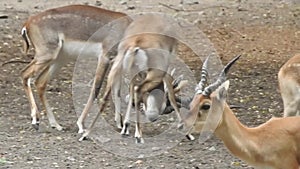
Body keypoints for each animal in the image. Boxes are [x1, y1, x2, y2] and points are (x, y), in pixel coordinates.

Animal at [19, 3, 130, 131]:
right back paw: (35, 120)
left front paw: (120, 125)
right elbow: (96, 88)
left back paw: (56, 124)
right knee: (25, 74)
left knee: (40, 82)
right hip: (46, 55)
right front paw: (81, 125)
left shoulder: (118, 64)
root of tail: (28, 22)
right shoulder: (105, 57)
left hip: (60, 59)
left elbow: (117, 92)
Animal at [78, 13, 184, 143]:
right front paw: (182, 126)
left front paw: (126, 127)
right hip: (154, 72)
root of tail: (135, 42)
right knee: (138, 89)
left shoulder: (135, 72)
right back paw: (139, 136)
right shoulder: (164, 71)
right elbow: (169, 90)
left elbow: (132, 88)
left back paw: (86, 134)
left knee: (105, 96)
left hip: (116, 68)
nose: (154, 117)